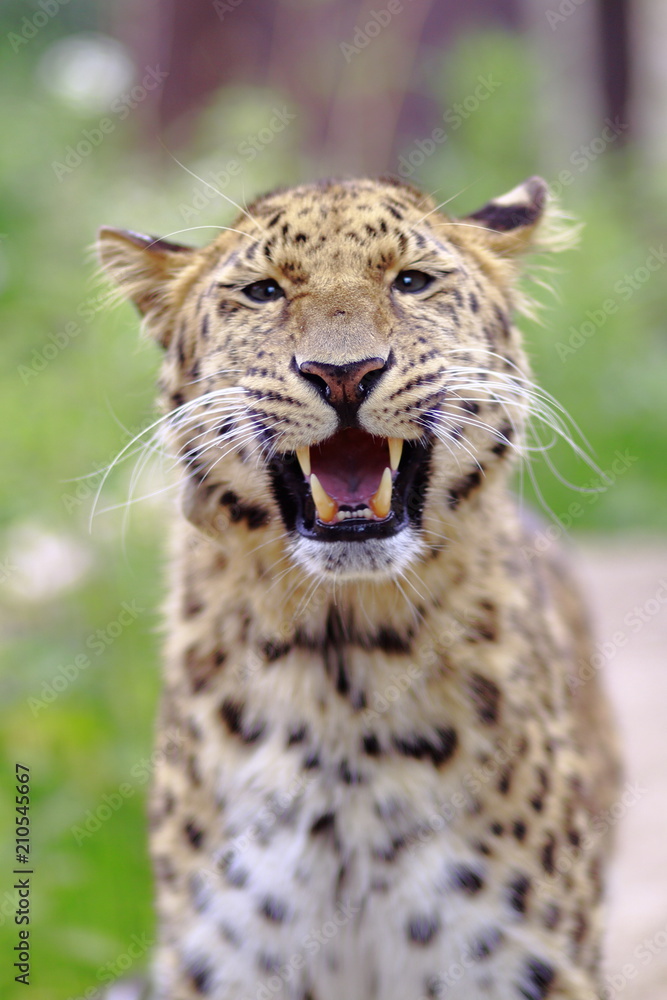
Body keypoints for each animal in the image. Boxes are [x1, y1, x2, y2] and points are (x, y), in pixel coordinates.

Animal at [97, 175, 621, 1000]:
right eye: (263, 291)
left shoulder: (524, 964)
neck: (342, 661)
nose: (342, 373)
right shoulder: (232, 964)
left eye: (409, 281)